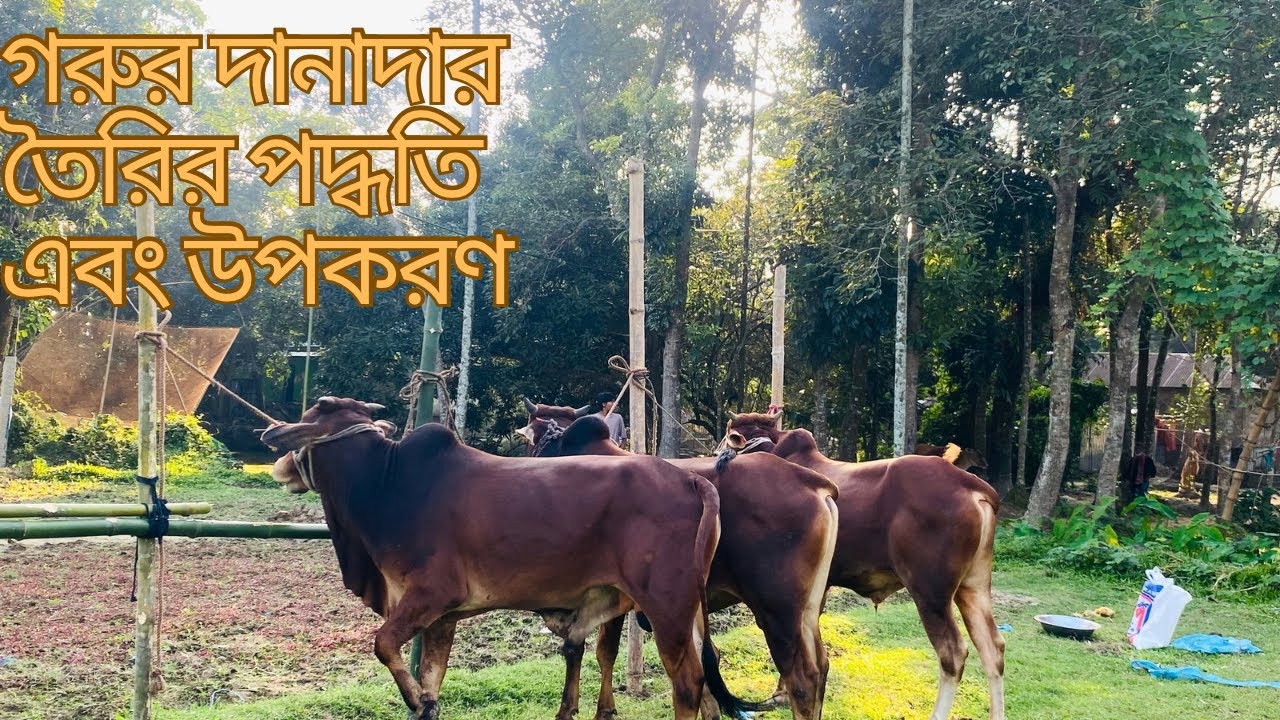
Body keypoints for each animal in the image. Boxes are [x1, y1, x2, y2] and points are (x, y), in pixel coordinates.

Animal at [262, 396, 764, 720]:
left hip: (666, 606)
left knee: (689, 683)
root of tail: (692, 480)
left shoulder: (431, 595)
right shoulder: (443, 617)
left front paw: (414, 699)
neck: (389, 483)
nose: (276, 454)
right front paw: (425, 701)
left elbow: (384, 645)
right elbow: (432, 686)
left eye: (317, 411)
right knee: (709, 683)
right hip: (687, 608)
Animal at [520, 400, 840, 720]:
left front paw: (597, 709)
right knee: (822, 665)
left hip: (777, 611)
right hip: (807, 610)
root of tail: (813, 483)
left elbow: (598, 650)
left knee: (802, 679)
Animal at [722, 411, 1005, 720]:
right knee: (993, 649)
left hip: (931, 593)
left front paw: (782, 693)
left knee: (953, 654)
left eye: (727, 435)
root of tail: (973, 486)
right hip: (974, 586)